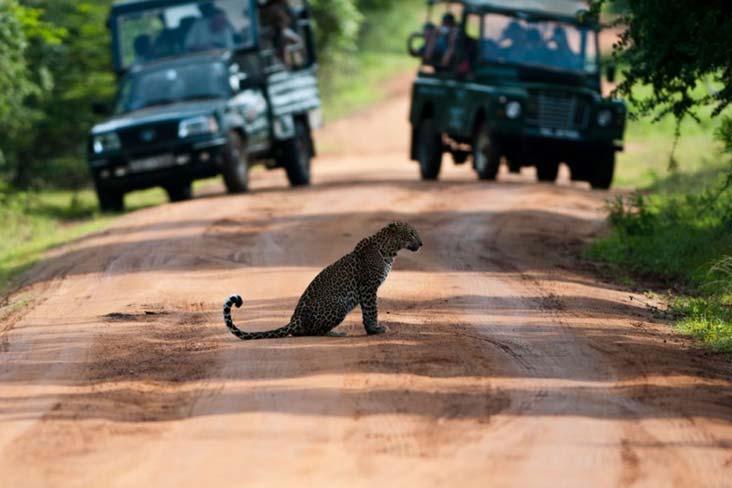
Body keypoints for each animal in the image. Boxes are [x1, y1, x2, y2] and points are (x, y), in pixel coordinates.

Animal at [222, 221, 424, 340]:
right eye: (411, 233)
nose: (422, 244)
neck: (390, 250)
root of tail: (294, 319)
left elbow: (368, 311)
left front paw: (372, 329)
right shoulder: (368, 287)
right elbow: (371, 310)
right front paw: (374, 329)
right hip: (339, 304)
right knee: (309, 332)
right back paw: (337, 332)